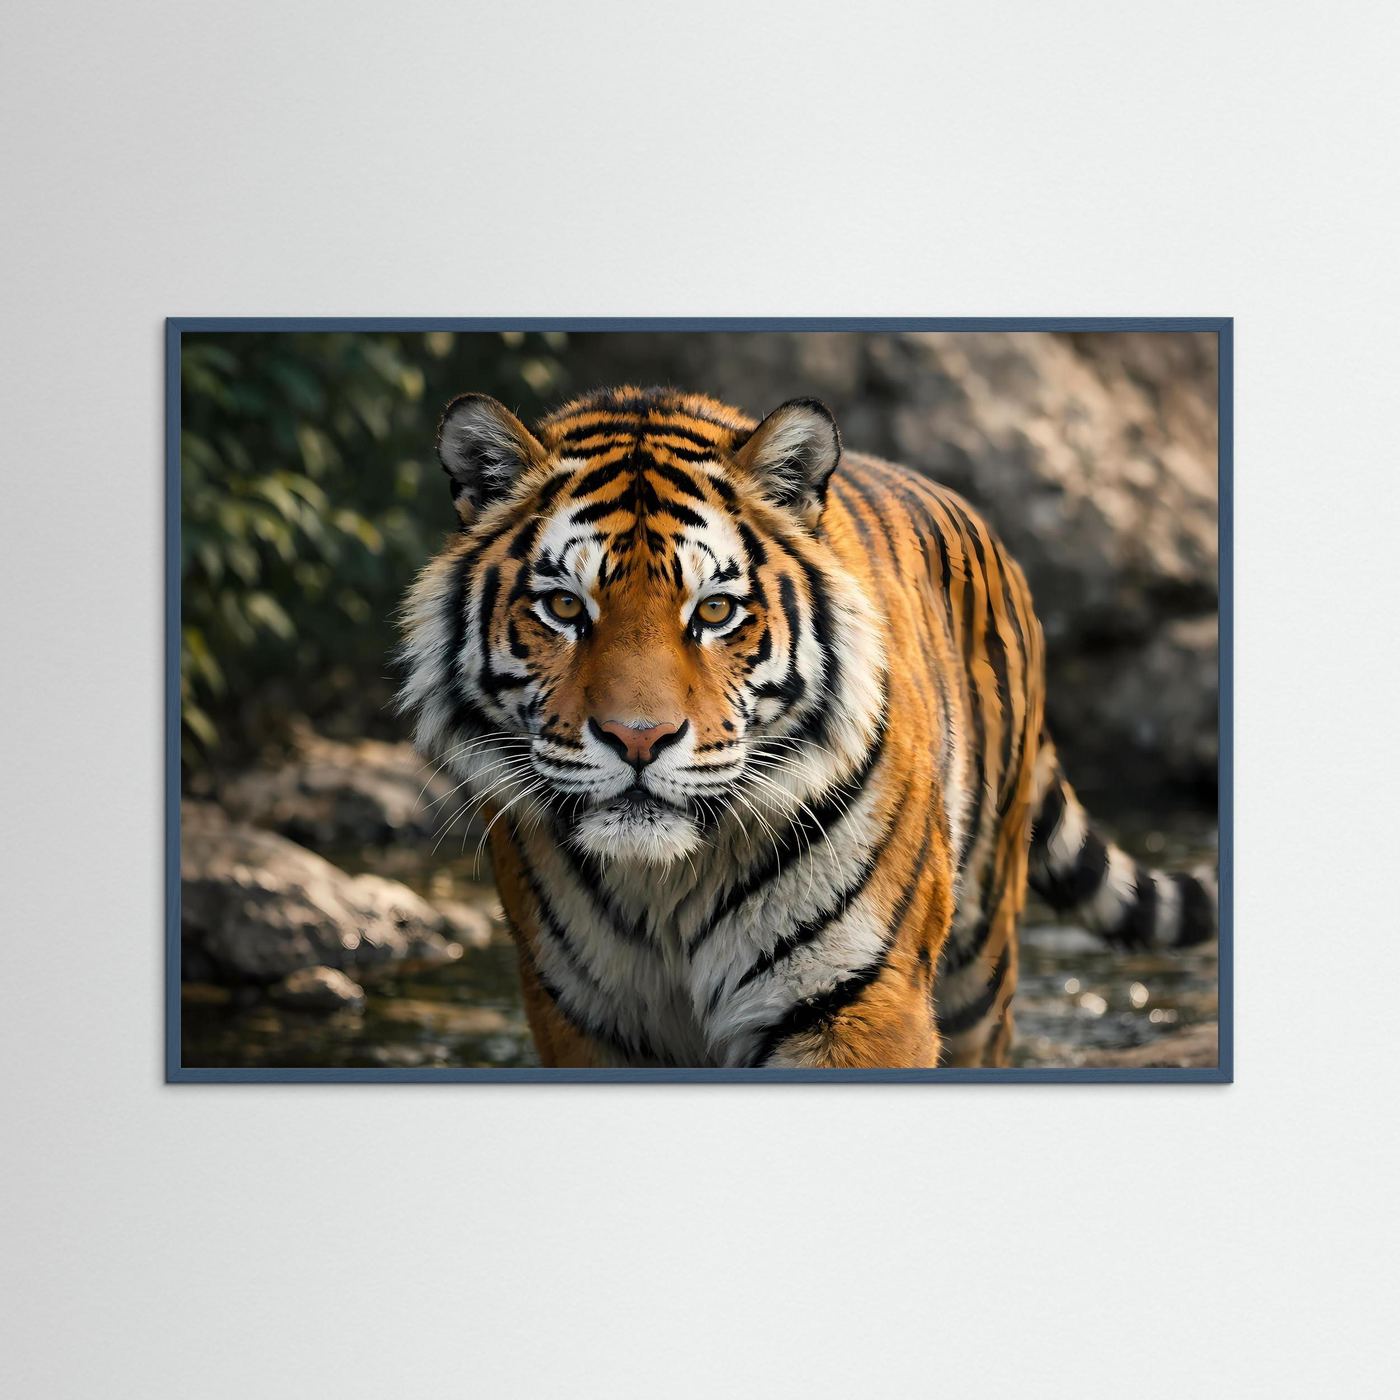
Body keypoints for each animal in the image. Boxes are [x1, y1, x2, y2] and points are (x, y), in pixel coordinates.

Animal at [397, 384, 1218, 1069]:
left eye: (715, 611)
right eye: (565, 607)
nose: (638, 739)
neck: (665, 885)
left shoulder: (858, 1001)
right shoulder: (580, 1016)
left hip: (982, 964)